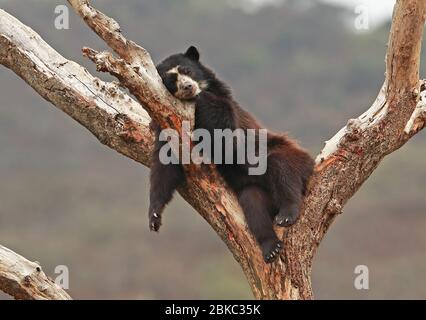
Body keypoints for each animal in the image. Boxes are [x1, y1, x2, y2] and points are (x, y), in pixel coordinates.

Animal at [148, 46, 314, 264]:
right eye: (171, 81)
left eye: (187, 71)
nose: (187, 87)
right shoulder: (167, 125)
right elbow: (164, 165)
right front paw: (154, 217)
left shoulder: (230, 111)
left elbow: (229, 138)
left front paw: (202, 97)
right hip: (258, 192)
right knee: (253, 200)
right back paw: (271, 248)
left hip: (289, 153)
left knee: (282, 168)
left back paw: (287, 214)